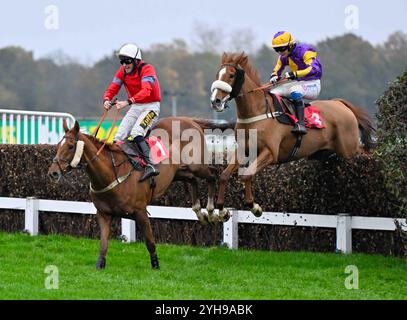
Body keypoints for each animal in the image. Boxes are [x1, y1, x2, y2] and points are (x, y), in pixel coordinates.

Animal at [48, 116, 223, 268]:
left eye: (70, 146)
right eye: (58, 145)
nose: (53, 172)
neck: (112, 173)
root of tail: (189, 120)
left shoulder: (140, 212)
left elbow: (150, 242)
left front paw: (155, 265)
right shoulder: (103, 214)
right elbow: (103, 244)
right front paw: (100, 265)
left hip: (197, 165)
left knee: (214, 174)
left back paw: (215, 211)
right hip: (180, 171)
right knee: (193, 180)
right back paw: (199, 211)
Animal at [212, 52, 374, 219]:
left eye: (231, 75)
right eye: (218, 74)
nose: (215, 101)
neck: (257, 112)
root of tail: (340, 103)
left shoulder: (270, 153)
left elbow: (247, 175)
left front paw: (254, 206)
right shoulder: (243, 151)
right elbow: (224, 175)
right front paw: (222, 209)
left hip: (349, 150)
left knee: (366, 153)